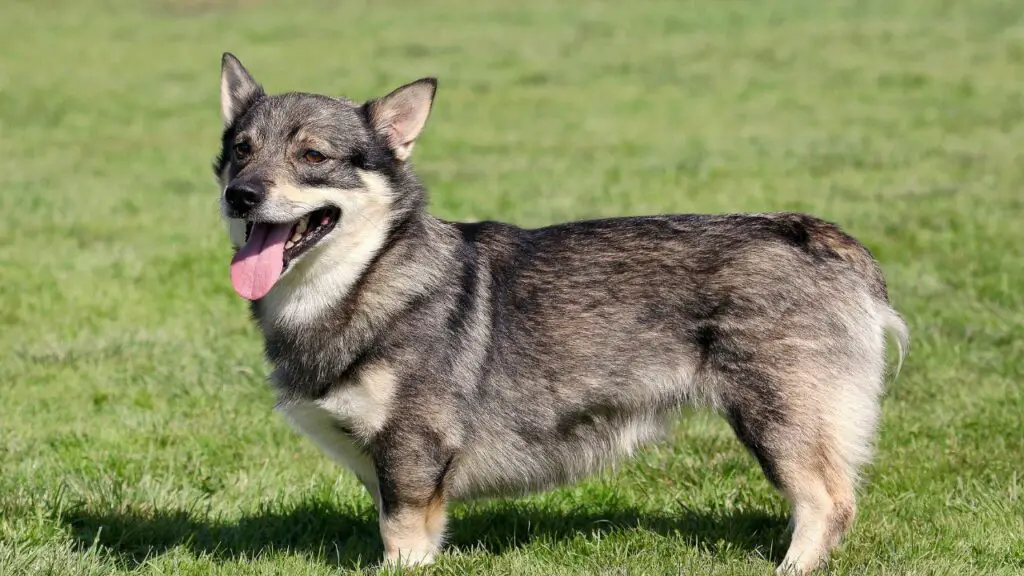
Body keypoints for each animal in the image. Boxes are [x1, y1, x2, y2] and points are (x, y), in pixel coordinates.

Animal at [214, 51, 905, 569]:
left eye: (312, 156)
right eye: (241, 149)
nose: (239, 195)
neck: (367, 277)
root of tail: (819, 236)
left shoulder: (412, 457)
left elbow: (401, 542)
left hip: (778, 417)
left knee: (827, 503)